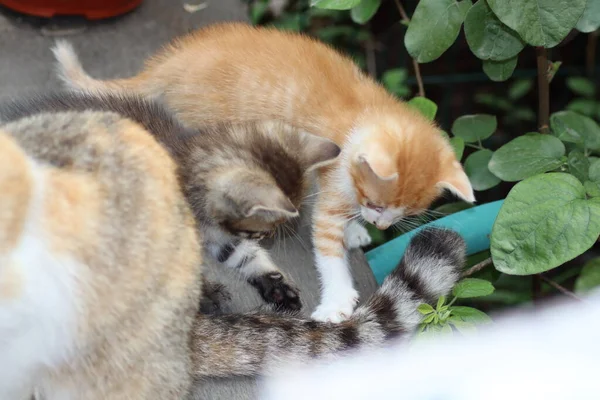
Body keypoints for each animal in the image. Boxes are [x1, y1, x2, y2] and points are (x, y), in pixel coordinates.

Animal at [0, 92, 342, 310]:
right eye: (261, 231)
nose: (267, 238)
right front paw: (206, 295)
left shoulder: (220, 236)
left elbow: (243, 256)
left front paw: (276, 285)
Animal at [51, 21, 474, 324]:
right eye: (375, 202)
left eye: (405, 214)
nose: (381, 225)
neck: (366, 115)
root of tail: (167, 64)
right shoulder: (334, 174)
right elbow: (326, 242)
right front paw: (336, 301)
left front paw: (355, 229)